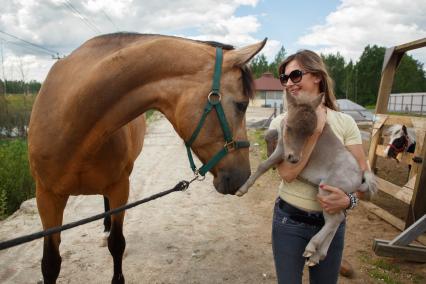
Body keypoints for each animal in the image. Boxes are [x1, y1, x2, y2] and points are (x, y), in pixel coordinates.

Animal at [28, 33, 264, 284]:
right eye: (242, 105)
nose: (244, 177)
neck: (71, 121)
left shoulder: (120, 188)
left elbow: (116, 244)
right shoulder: (46, 197)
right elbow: (50, 263)